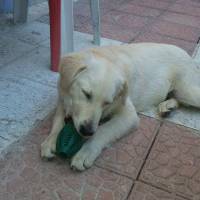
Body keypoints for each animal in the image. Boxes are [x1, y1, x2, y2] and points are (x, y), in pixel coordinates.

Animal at [41, 42, 200, 170]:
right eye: (86, 94)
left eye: (107, 103)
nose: (87, 131)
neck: (107, 58)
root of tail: (189, 57)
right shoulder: (62, 98)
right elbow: (58, 120)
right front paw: (50, 141)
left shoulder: (129, 115)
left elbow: (103, 130)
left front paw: (86, 152)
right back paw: (167, 106)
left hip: (187, 90)